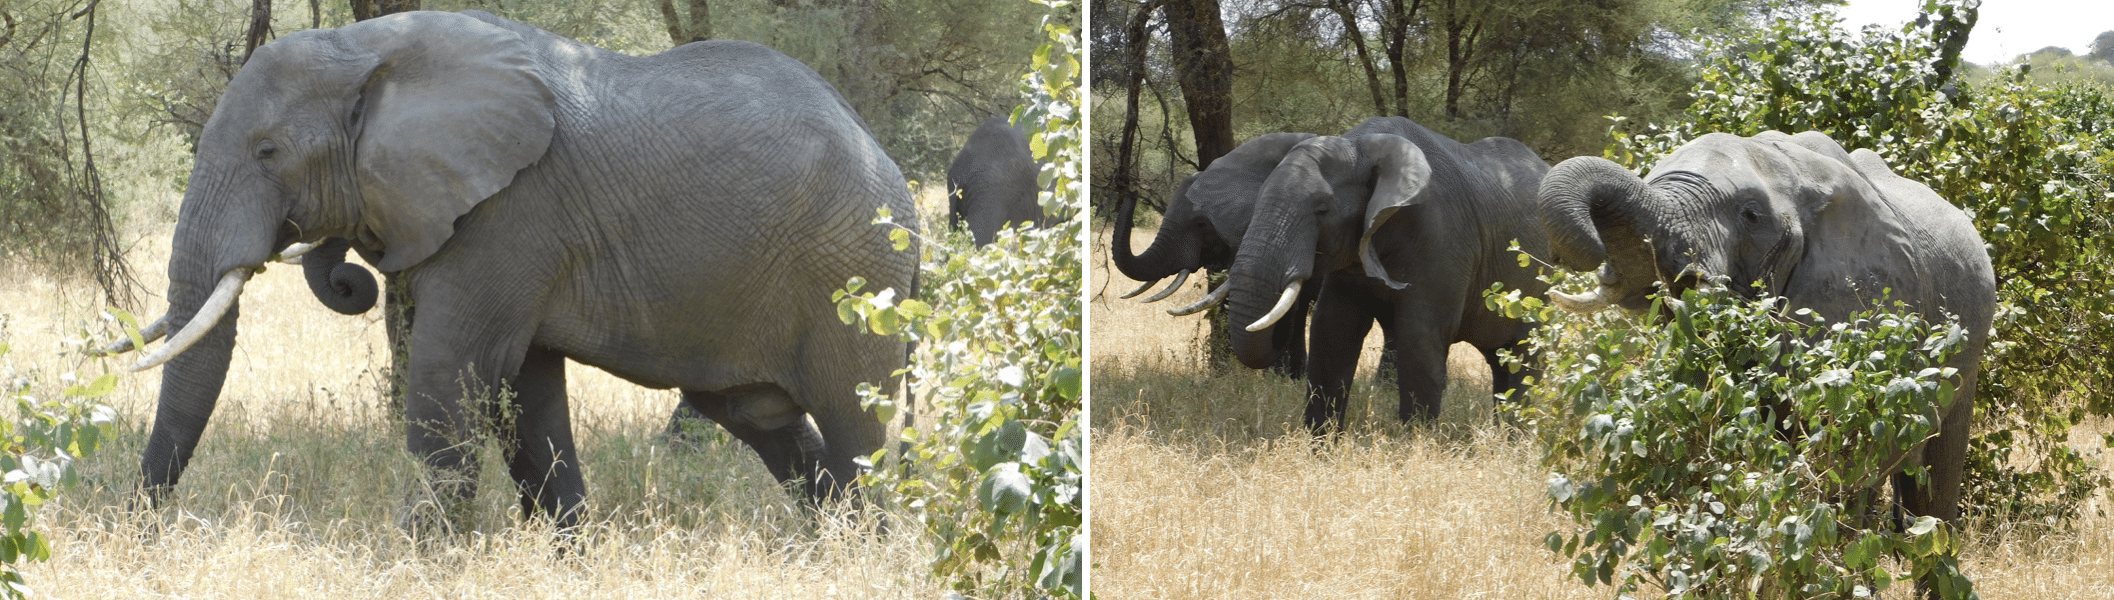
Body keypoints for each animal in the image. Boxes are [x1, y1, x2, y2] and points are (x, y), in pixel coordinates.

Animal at [107, 11, 917, 530]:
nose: (140, 530)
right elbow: (524, 396)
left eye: (269, 152)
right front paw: (571, 556)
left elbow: (453, 372)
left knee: (856, 423)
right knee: (761, 417)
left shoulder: (510, 211)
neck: (367, 48)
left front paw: (418, 561)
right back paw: (831, 544)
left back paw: (870, 552)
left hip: (852, 276)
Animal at [1209, 116, 1555, 430]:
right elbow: (1332, 332)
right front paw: (1319, 444)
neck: (1359, 146)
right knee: (1502, 362)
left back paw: (1516, 437)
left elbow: (1419, 339)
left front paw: (1416, 444)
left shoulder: (1443, 238)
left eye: (1322, 209)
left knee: (1526, 357)